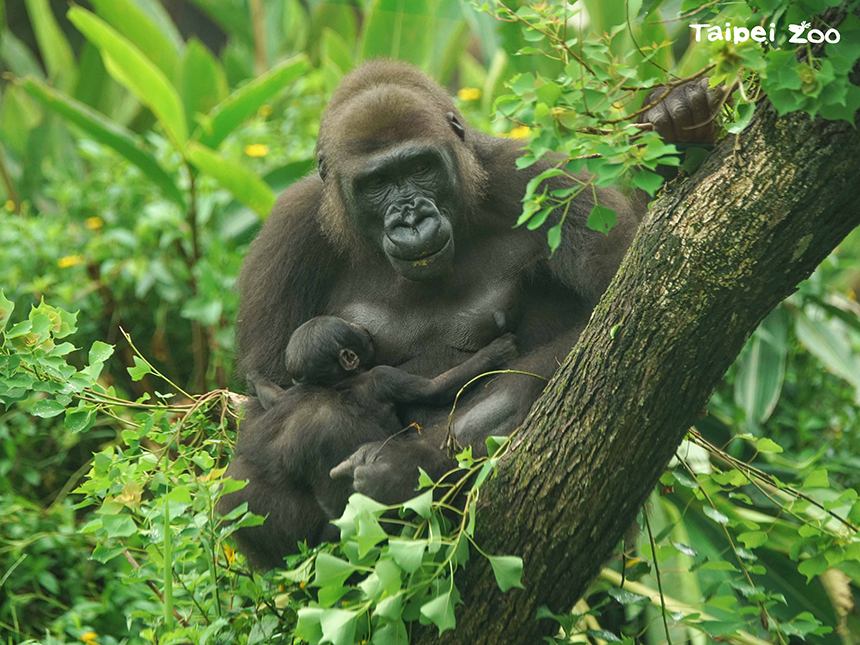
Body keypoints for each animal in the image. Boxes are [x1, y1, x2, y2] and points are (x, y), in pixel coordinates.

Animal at [222, 314, 516, 568]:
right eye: (346, 327)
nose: (358, 326)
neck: (338, 382)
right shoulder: (383, 376)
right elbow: (434, 388)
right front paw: (494, 352)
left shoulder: (298, 390)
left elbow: (276, 398)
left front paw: (256, 380)